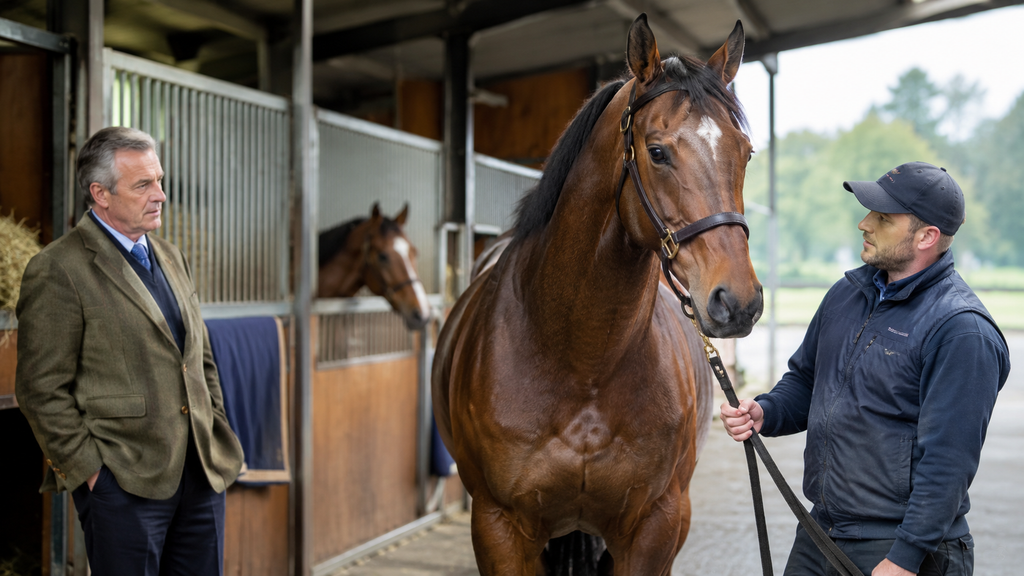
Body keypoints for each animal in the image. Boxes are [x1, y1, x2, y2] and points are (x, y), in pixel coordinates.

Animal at [432, 14, 761, 576]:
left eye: (746, 153)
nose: (737, 302)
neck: (581, 360)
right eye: (657, 151)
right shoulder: (499, 527)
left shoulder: (655, 525)